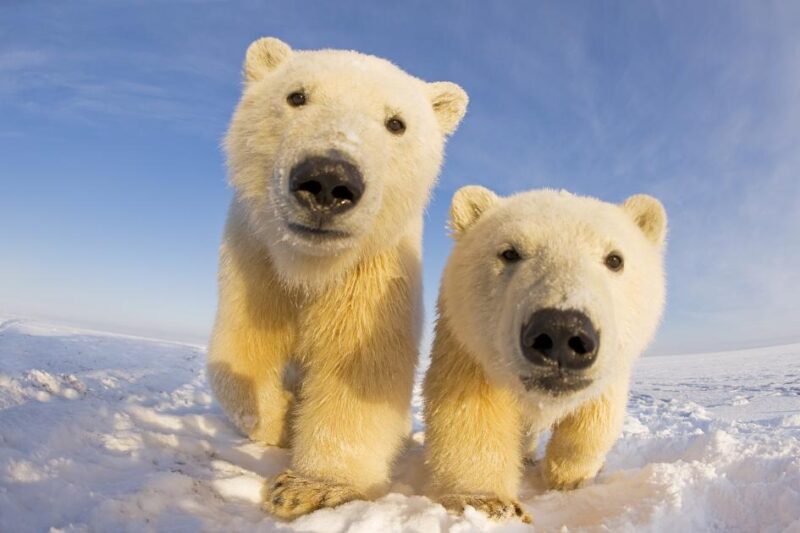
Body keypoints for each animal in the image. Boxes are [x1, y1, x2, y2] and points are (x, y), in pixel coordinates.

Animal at [206, 35, 468, 516]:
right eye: (296, 96)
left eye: (396, 123)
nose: (328, 180)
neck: (310, 267)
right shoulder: (255, 262)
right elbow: (240, 352)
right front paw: (283, 418)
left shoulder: (371, 275)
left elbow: (358, 367)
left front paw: (311, 487)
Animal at [424, 186, 668, 520]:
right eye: (509, 252)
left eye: (615, 259)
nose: (561, 332)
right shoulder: (466, 344)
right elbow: (469, 411)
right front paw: (486, 502)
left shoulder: (611, 365)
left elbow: (596, 416)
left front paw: (570, 476)